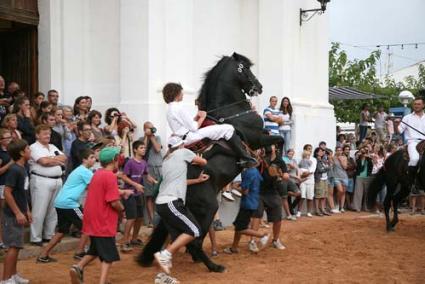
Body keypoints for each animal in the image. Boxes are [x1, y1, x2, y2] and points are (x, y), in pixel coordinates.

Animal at [137, 52, 284, 272]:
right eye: (245, 68)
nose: (258, 86)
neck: (230, 112)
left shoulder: (261, 136)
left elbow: (274, 141)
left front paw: (270, 163)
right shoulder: (257, 137)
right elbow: (279, 139)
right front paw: (271, 164)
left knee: (186, 239)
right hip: (208, 208)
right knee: (195, 240)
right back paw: (214, 266)